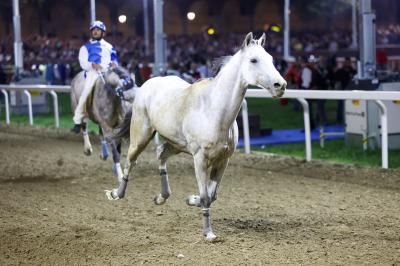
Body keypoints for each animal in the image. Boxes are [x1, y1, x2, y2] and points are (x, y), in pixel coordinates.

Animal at [107, 32, 288, 241]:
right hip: (141, 136)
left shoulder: (223, 160)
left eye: (271, 59)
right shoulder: (200, 159)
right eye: (253, 59)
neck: (214, 111)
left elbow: (212, 195)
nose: (280, 85)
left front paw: (191, 200)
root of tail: (147, 84)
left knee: (161, 154)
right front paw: (208, 233)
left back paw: (161, 197)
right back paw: (116, 194)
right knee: (131, 161)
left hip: (176, 144)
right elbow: (205, 196)